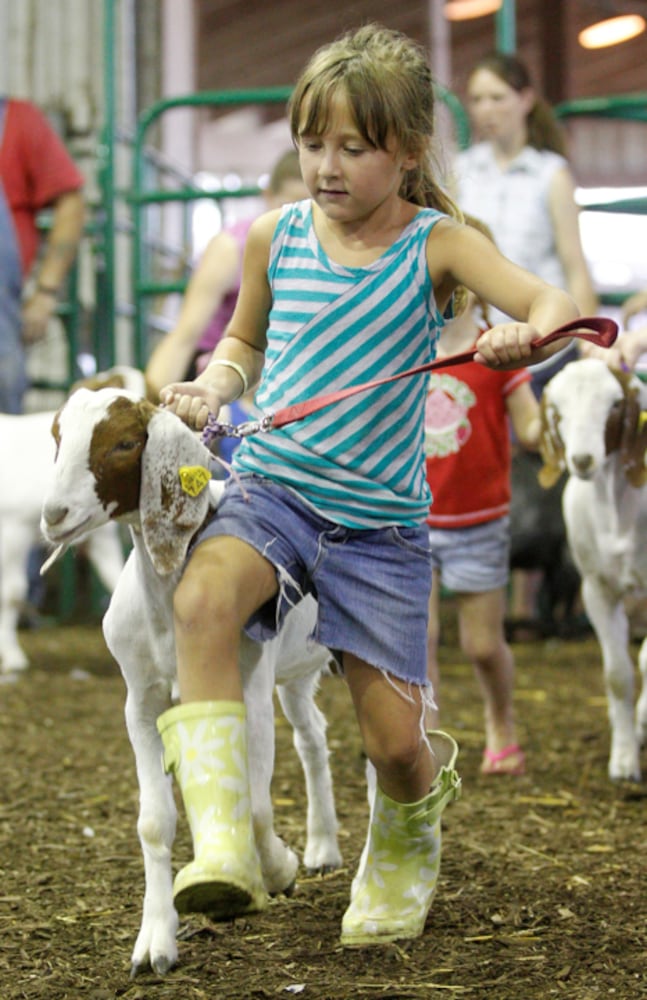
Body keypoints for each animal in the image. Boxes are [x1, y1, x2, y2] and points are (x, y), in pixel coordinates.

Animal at [39, 388, 344, 976]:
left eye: (125, 443)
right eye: (58, 436)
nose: (53, 514)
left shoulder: (249, 688)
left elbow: (257, 803)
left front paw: (277, 869)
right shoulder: (141, 701)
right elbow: (155, 821)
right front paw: (155, 942)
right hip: (295, 673)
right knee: (313, 736)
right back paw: (323, 849)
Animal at [540, 360, 647, 780]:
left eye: (616, 404)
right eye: (557, 411)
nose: (583, 460)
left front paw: (642, 724)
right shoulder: (596, 589)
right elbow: (617, 675)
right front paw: (624, 759)